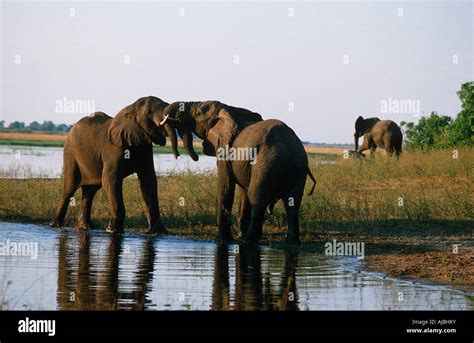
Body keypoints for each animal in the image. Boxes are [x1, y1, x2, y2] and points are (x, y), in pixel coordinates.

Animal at [50, 97, 180, 236]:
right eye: (149, 113)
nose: (177, 155)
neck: (131, 109)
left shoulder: (145, 145)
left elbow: (148, 179)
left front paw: (158, 233)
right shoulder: (113, 147)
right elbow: (111, 179)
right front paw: (113, 231)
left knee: (90, 190)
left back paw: (86, 227)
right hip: (71, 153)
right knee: (69, 188)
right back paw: (56, 226)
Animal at [161, 101, 316, 246]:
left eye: (198, 113)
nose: (179, 155)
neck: (229, 109)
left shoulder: (225, 149)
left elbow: (226, 187)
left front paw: (222, 241)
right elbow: (243, 191)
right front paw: (239, 235)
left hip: (266, 163)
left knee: (257, 198)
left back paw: (248, 242)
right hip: (298, 169)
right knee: (292, 202)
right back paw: (291, 242)